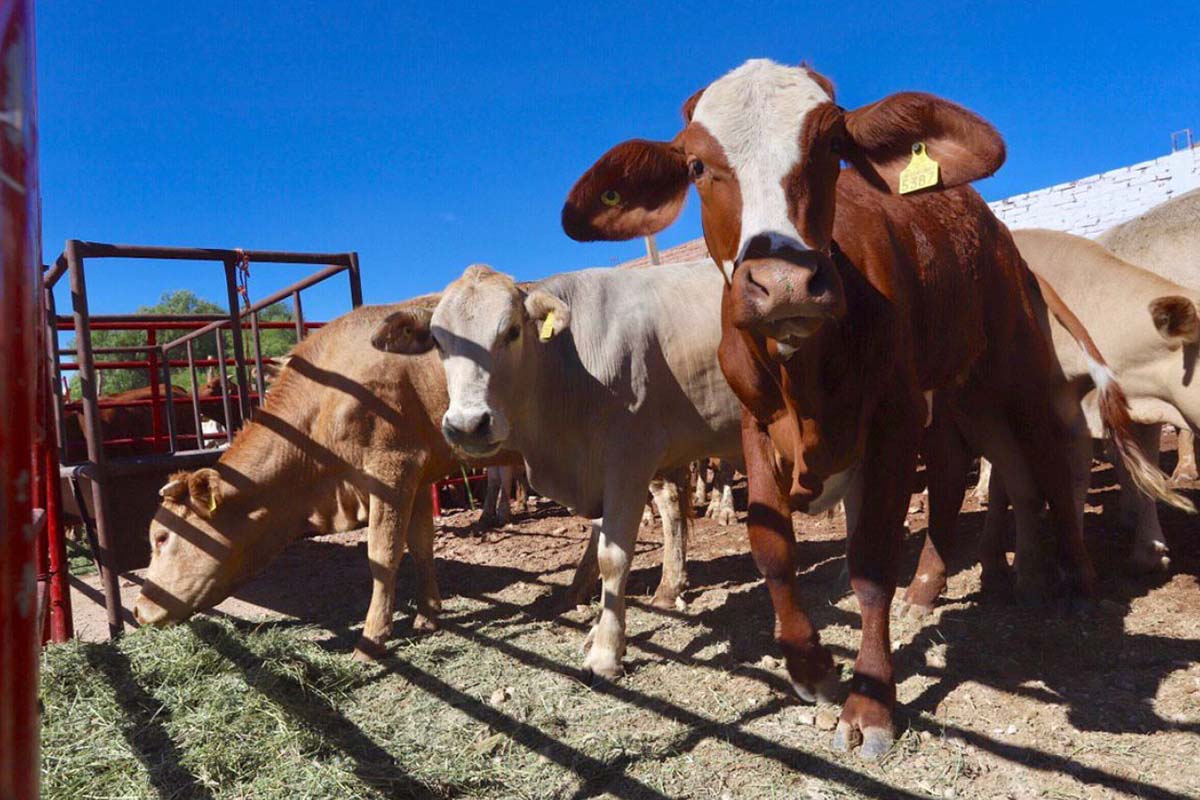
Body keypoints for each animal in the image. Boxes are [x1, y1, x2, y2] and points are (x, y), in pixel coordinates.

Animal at [374, 257, 744, 681]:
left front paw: (605, 654)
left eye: (512, 331)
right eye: (438, 342)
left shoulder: (629, 462)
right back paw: (670, 588)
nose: (468, 425)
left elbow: (612, 557)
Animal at [561, 59, 1161, 762]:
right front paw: (812, 667)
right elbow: (770, 545)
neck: (806, 376)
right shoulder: (755, 424)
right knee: (963, 468)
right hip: (957, 390)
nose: (785, 284)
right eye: (697, 166)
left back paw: (1077, 580)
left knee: (1045, 451)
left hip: (1013, 363)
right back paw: (944, 589)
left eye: (830, 145)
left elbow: (870, 562)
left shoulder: (892, 420)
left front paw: (871, 701)